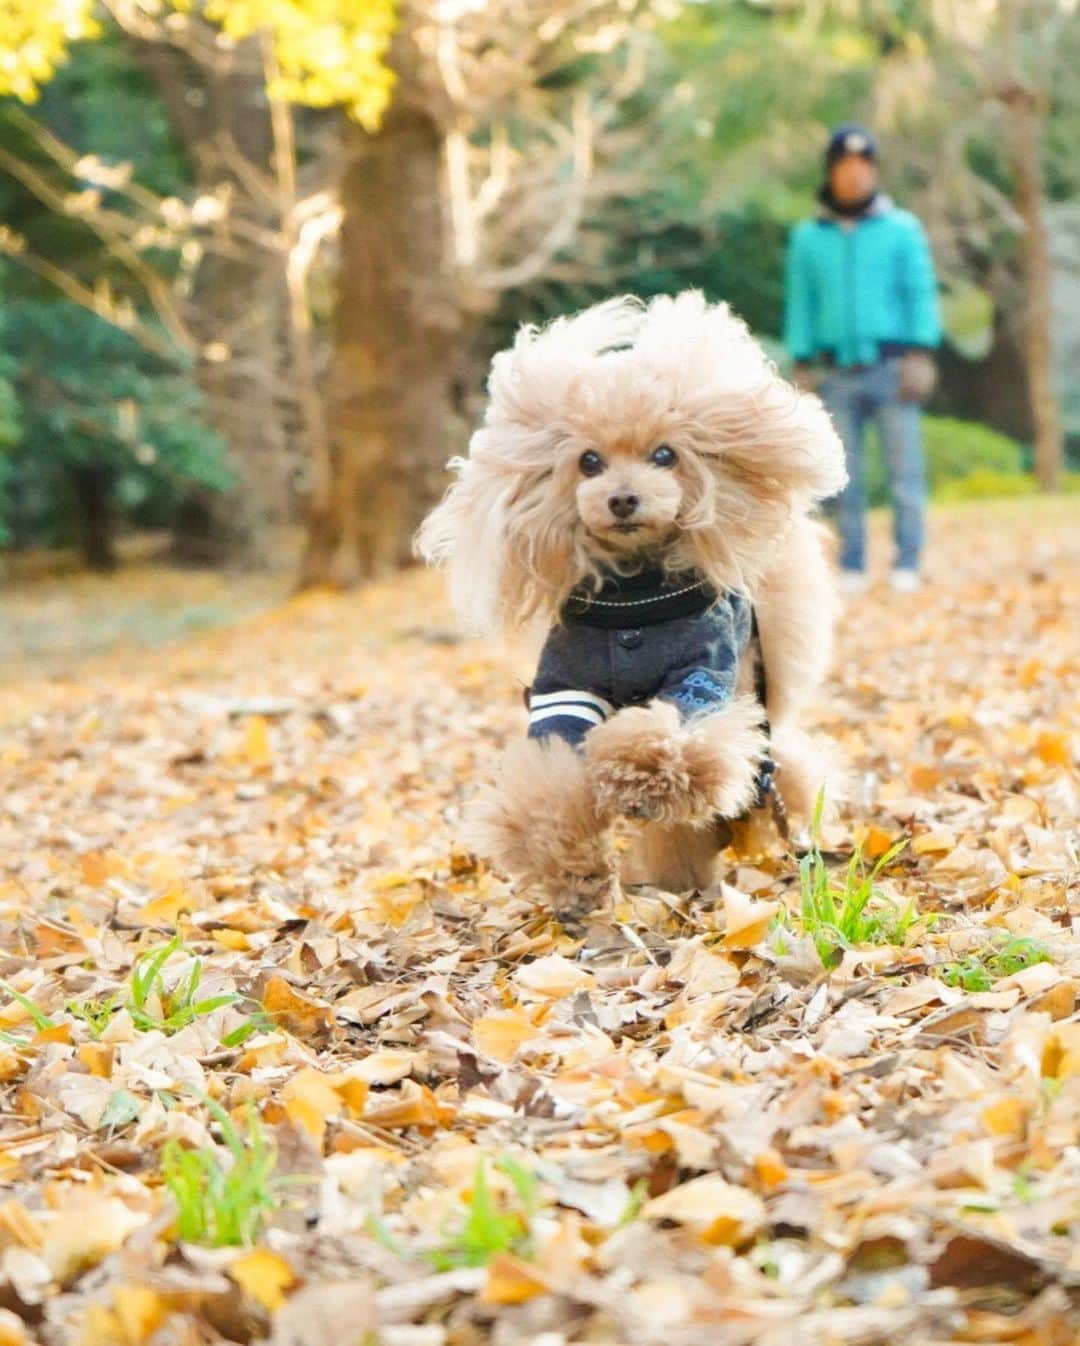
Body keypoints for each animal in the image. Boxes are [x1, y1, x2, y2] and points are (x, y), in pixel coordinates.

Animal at [417, 290, 845, 909]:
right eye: (588, 461)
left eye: (665, 455)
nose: (622, 499)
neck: (634, 605)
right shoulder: (564, 691)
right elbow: (549, 780)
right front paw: (570, 865)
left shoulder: (701, 677)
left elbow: (665, 736)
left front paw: (641, 772)